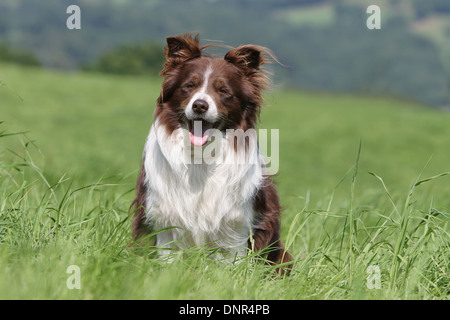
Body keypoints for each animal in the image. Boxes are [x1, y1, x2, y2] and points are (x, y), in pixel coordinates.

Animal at [131, 33, 292, 272]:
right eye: (189, 86)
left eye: (223, 91)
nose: (199, 105)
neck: (201, 157)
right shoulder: (164, 220)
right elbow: (167, 258)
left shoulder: (235, 226)